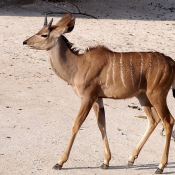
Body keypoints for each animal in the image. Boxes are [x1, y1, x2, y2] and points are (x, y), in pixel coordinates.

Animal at [23, 12, 175, 174]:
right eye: (39, 30)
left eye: (44, 34)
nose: (25, 42)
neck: (79, 65)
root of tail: (171, 63)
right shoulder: (98, 99)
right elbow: (102, 124)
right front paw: (106, 162)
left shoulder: (87, 97)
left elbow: (76, 124)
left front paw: (60, 162)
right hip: (143, 97)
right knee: (154, 120)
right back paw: (131, 159)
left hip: (157, 95)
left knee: (168, 121)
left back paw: (160, 166)